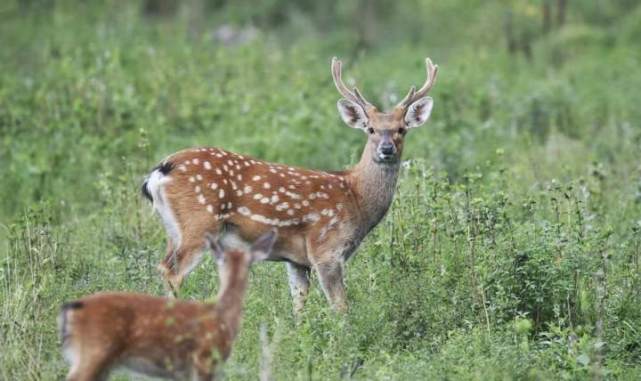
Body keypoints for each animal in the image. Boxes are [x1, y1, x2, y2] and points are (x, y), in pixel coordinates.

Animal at [142, 56, 438, 312]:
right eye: (371, 129)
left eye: (401, 129)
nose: (387, 149)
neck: (357, 198)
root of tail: (161, 170)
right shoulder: (326, 249)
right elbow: (341, 307)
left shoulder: (296, 261)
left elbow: (298, 307)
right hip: (199, 222)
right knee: (172, 272)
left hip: (174, 230)